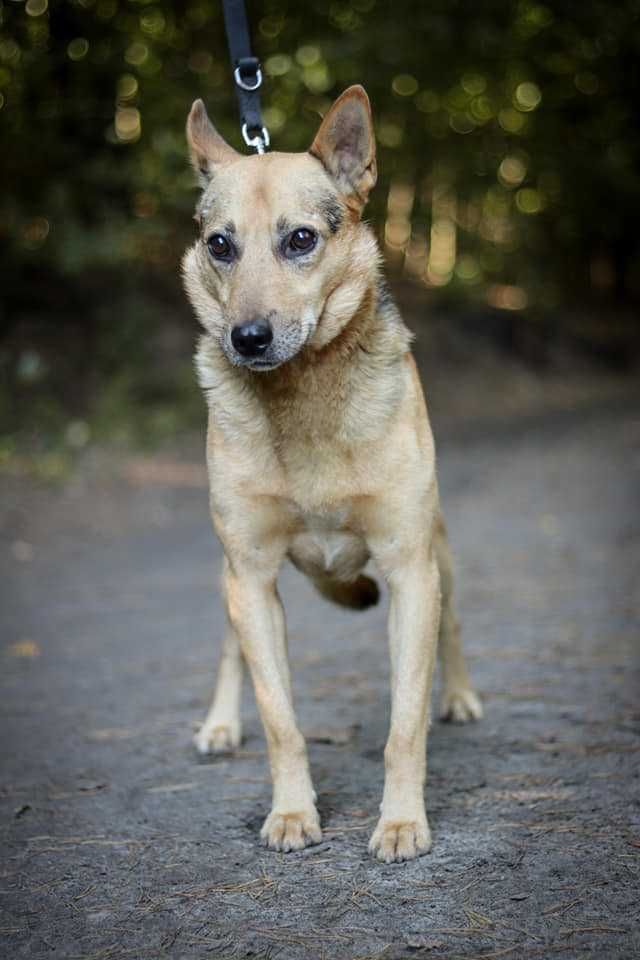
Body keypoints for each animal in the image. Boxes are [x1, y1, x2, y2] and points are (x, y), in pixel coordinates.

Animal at [180, 84, 480, 864]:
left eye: (301, 239)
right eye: (220, 244)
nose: (247, 338)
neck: (302, 394)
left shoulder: (409, 568)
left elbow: (403, 726)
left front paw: (402, 822)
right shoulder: (251, 578)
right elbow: (280, 719)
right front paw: (292, 813)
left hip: (440, 553)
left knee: (450, 630)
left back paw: (456, 697)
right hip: (229, 578)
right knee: (230, 651)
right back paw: (219, 723)